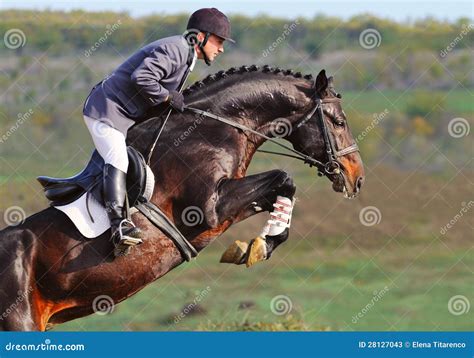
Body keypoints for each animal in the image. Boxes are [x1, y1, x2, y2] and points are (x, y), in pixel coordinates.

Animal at [0, 66, 364, 330]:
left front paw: (257, 246)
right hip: (19, 322)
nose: (356, 178)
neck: (216, 129)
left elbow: (282, 187)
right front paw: (258, 246)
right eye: (339, 121)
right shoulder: (208, 209)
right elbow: (282, 178)